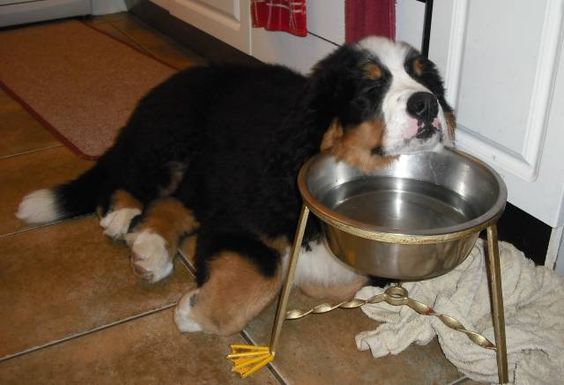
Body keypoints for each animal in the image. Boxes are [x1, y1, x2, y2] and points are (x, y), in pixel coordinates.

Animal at [16, 37, 454, 334]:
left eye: (425, 79)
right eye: (369, 89)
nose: (426, 104)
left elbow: (340, 280)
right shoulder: (245, 213)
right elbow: (263, 272)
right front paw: (194, 312)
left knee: (176, 203)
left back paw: (148, 248)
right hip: (171, 133)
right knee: (131, 174)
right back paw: (124, 218)